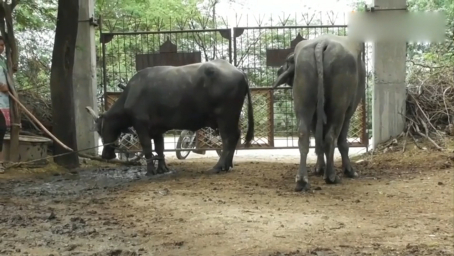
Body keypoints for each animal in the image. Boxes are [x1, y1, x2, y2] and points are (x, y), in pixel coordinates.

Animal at [86, 59, 254, 176]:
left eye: (100, 130)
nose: (106, 154)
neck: (131, 94)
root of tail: (240, 73)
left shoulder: (141, 124)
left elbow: (147, 147)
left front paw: (150, 171)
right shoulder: (157, 129)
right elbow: (159, 148)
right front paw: (162, 168)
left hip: (225, 117)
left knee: (228, 139)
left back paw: (218, 167)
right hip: (231, 118)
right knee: (235, 136)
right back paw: (228, 165)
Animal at [274, 34, 366, 191]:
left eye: (286, 62)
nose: (280, 70)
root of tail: (322, 42)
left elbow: (318, 139)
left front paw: (319, 168)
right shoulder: (348, 112)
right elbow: (341, 141)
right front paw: (349, 170)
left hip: (304, 102)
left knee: (304, 136)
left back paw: (302, 180)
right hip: (338, 107)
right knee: (331, 137)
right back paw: (331, 176)